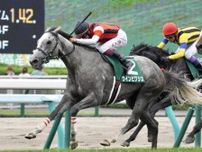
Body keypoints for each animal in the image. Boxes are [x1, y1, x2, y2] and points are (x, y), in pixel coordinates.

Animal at [25, 27, 202, 148]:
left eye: (48, 42)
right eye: (39, 41)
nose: (33, 60)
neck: (79, 65)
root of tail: (160, 70)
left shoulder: (95, 98)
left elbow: (73, 110)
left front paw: (74, 141)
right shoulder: (70, 96)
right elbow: (54, 112)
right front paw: (33, 132)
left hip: (146, 94)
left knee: (134, 120)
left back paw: (111, 140)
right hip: (136, 99)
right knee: (152, 122)